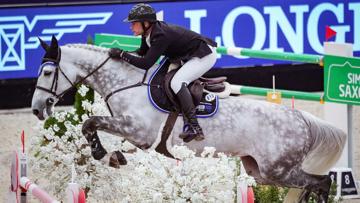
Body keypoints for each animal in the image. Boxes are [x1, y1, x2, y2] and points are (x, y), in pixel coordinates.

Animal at [31, 36, 346, 201]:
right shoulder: (141, 141)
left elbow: (90, 123)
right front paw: (112, 156)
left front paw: (101, 153)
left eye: (46, 72)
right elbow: (104, 136)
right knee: (309, 184)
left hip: (278, 170)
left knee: (322, 182)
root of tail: (302, 119)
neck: (127, 82)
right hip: (262, 171)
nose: (36, 109)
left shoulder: (138, 132)